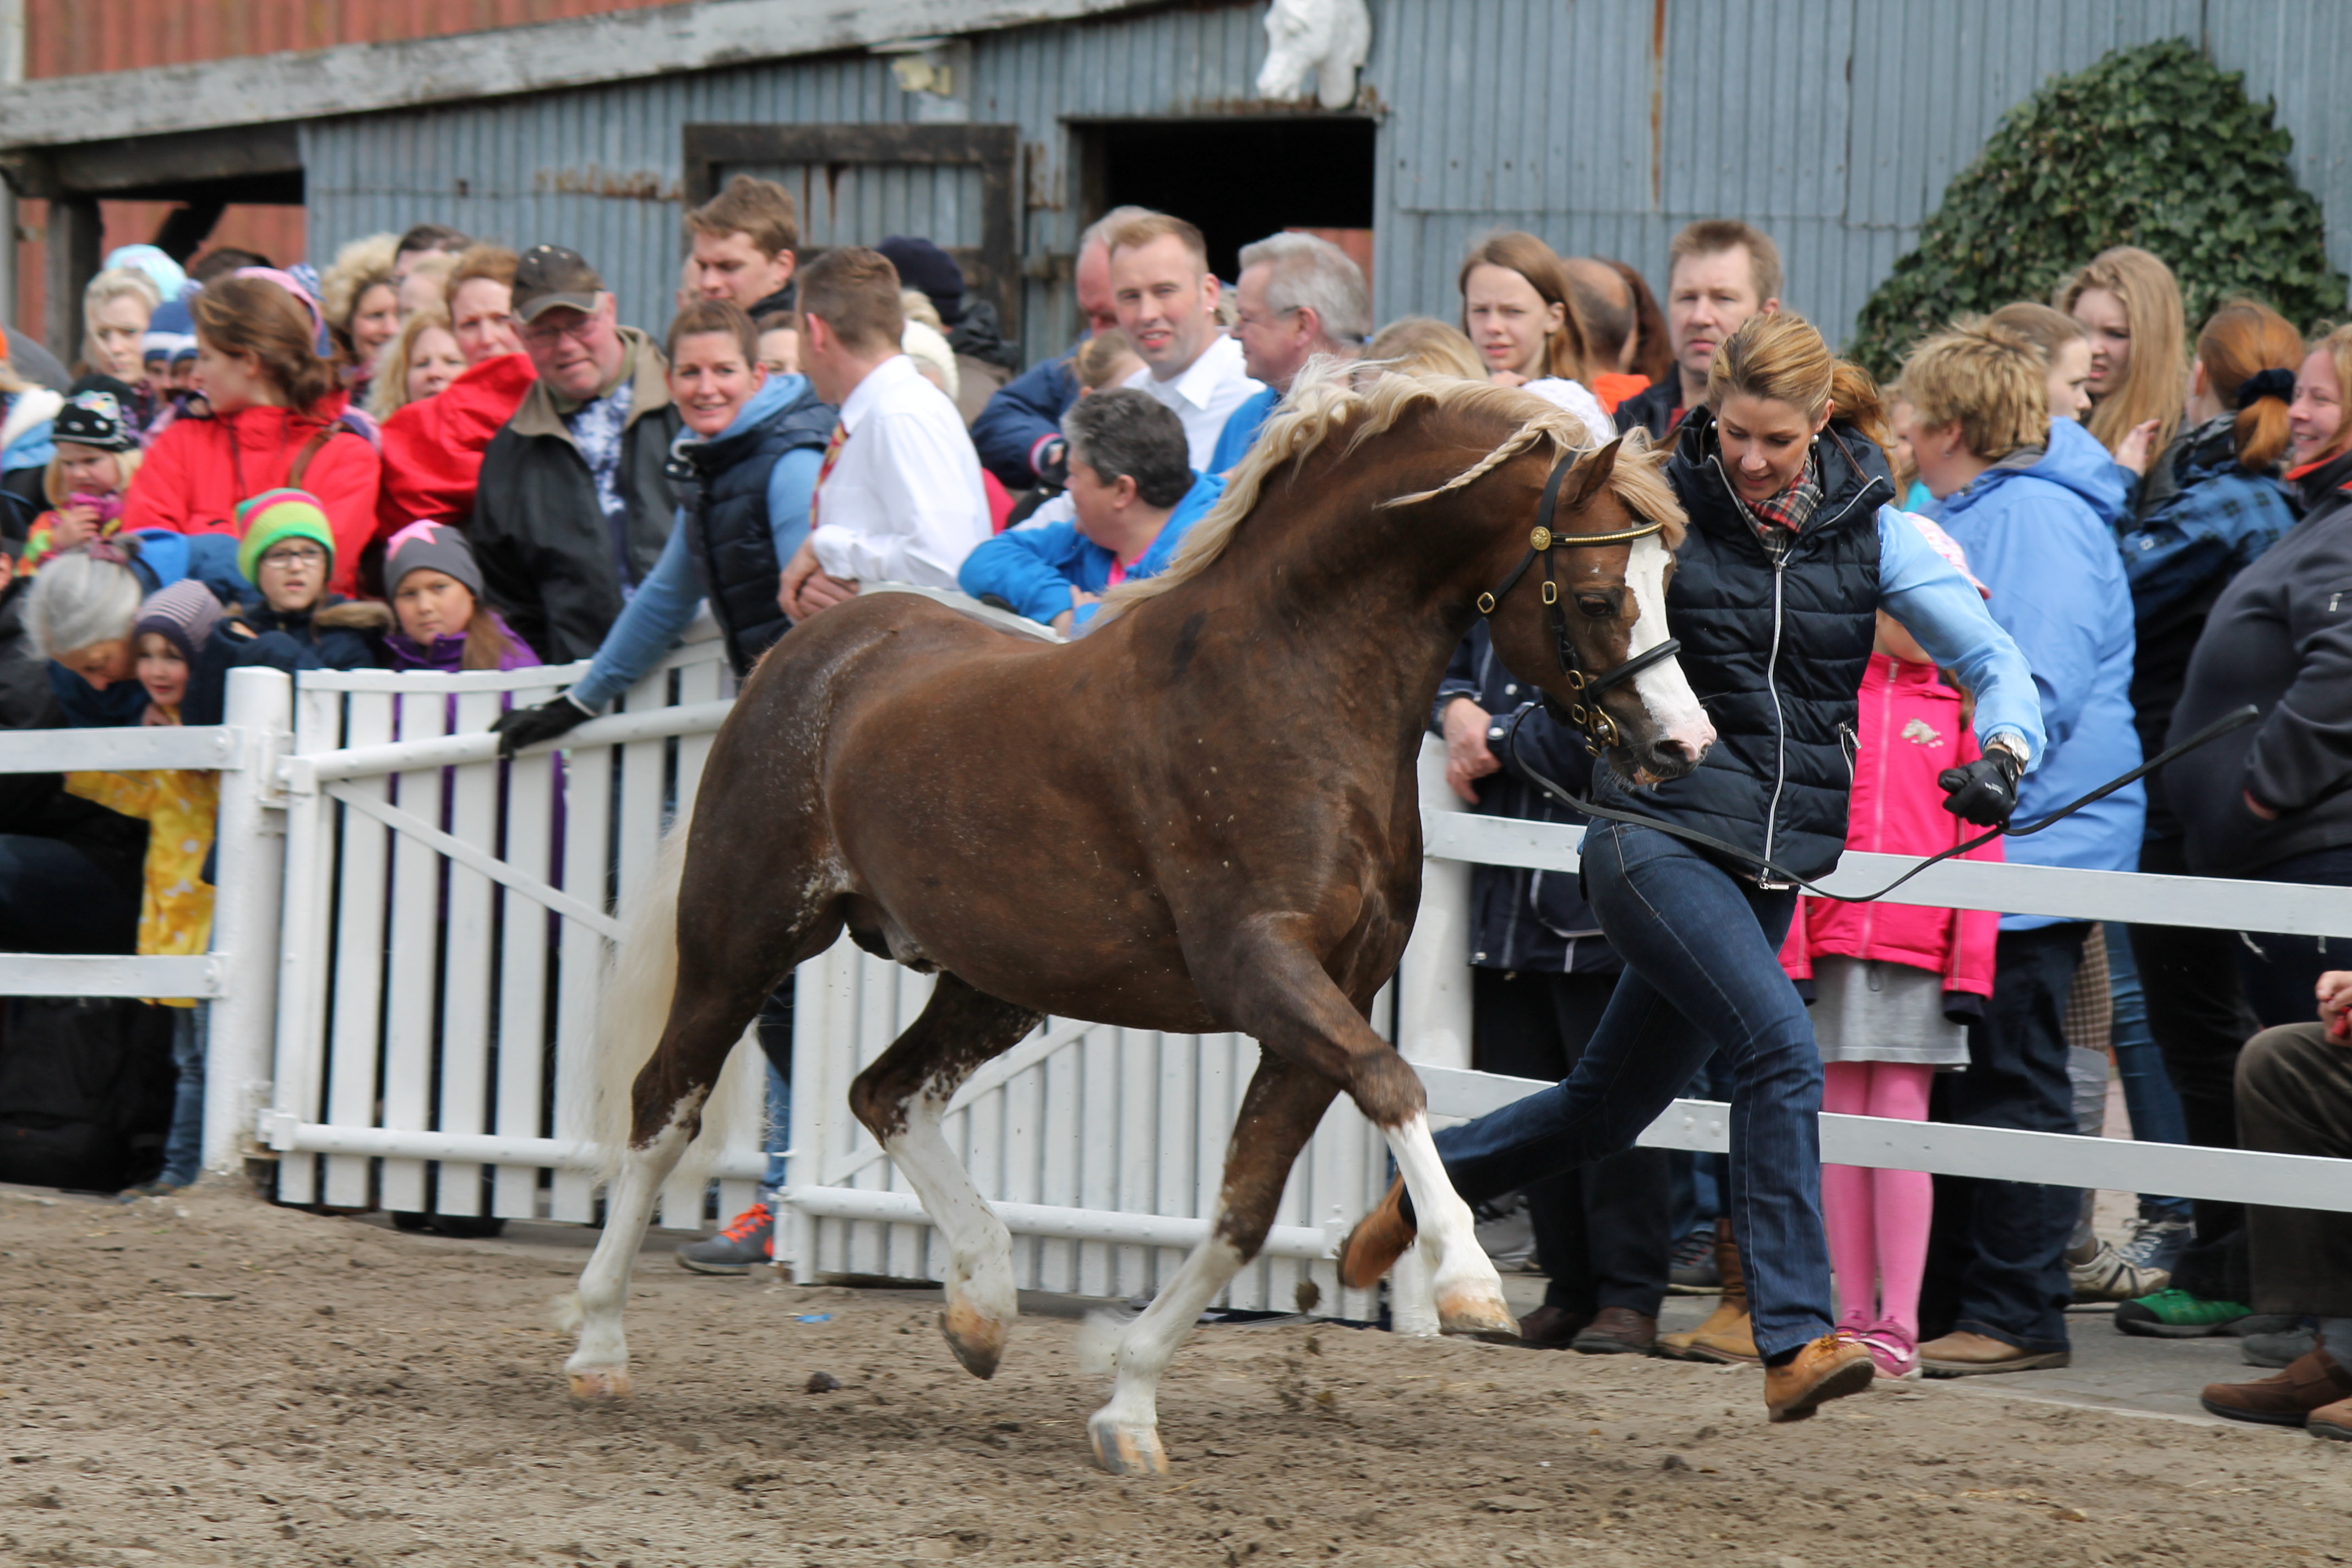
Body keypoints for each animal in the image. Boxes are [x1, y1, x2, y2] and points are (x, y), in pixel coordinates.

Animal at [559, 369, 1722, 1476]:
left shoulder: (1318, 1006)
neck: (1290, 693)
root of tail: (798, 653)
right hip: (744, 938)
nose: (1683, 746)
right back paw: (597, 1344)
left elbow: (1243, 1213)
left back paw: (981, 1307)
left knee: (882, 1092)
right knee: (666, 1105)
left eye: (1670, 583)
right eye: (1597, 593)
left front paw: (1126, 1406)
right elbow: (1393, 1082)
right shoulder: (1261, 967)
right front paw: (1467, 1278)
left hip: (994, 981)